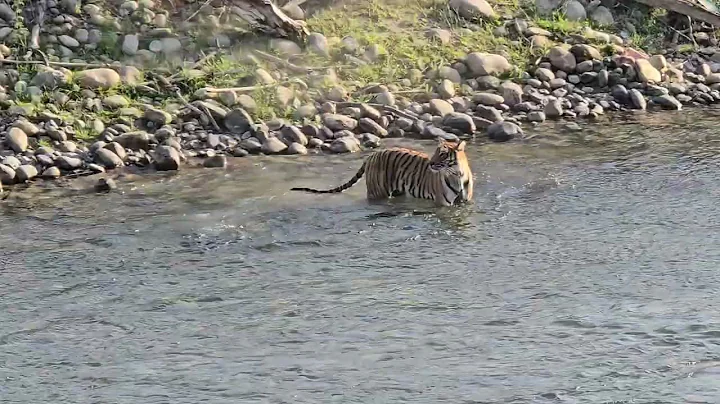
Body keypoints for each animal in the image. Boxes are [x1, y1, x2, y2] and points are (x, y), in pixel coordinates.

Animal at [290, 138, 474, 207]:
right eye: (436, 152)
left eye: (442, 154)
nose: (430, 162)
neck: (457, 174)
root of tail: (372, 155)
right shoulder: (442, 204)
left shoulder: (464, 203)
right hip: (377, 192)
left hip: (398, 190)